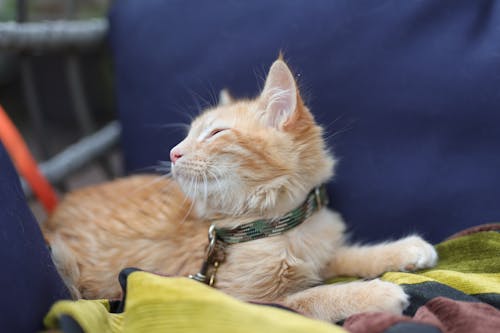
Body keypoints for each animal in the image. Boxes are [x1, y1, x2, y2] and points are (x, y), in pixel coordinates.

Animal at [42, 57, 438, 322]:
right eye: (187, 135)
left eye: (216, 133)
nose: (173, 153)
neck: (273, 227)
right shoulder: (243, 302)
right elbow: (314, 296)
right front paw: (374, 291)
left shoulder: (320, 251)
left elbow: (345, 255)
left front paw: (404, 249)